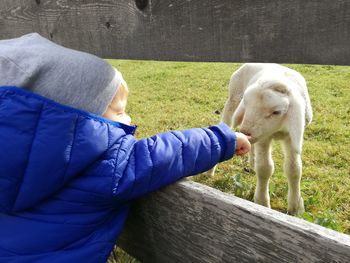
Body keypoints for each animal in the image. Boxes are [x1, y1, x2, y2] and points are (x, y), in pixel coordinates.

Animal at [220, 63, 314, 216]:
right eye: (246, 103)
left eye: (276, 112)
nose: (245, 133)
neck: (278, 129)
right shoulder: (264, 137)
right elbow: (265, 168)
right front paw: (262, 203)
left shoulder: (290, 137)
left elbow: (294, 169)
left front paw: (296, 208)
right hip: (233, 98)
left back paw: (252, 162)